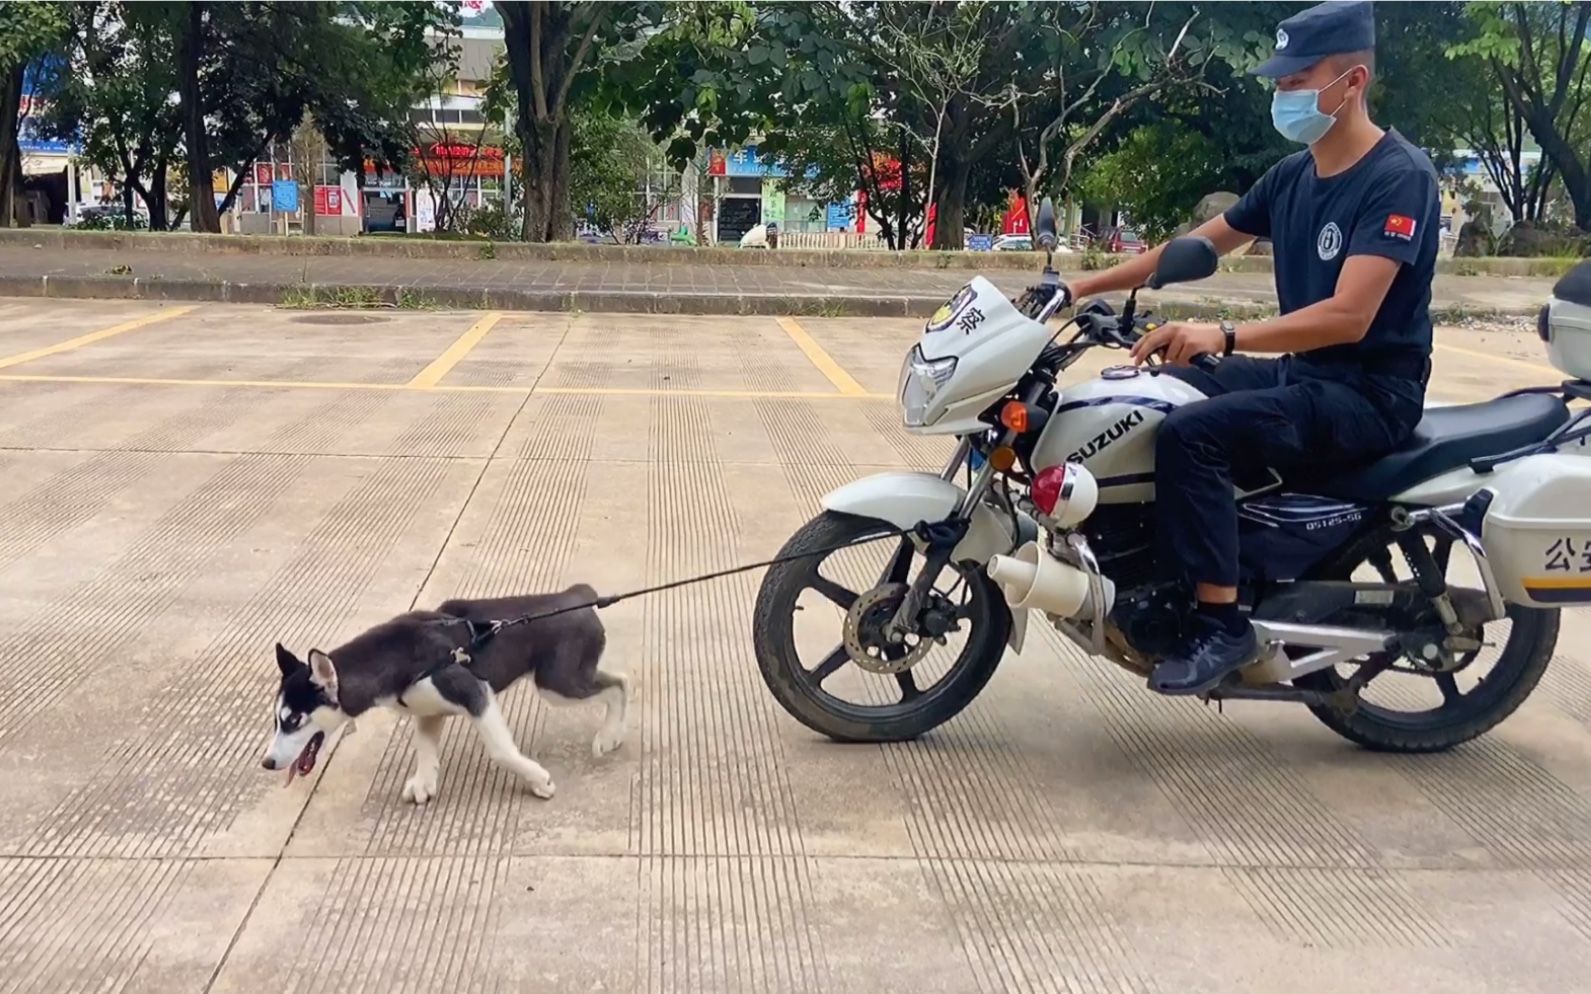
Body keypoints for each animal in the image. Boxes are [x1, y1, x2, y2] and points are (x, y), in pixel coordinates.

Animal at [264, 585, 630, 801]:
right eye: (277, 721)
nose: (267, 763)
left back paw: (608, 735)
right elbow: (425, 749)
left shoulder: (474, 692)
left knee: (622, 683)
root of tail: (579, 595)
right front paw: (424, 783)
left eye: (294, 720)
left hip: (558, 684)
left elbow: (501, 750)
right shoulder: (428, 710)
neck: (393, 656)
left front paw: (538, 780)